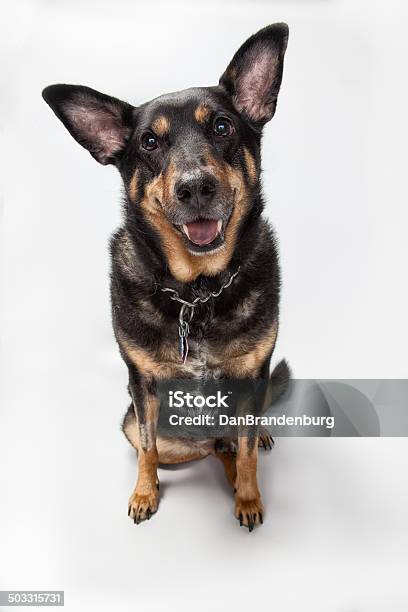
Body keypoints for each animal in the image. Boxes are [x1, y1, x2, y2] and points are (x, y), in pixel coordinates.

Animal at [42, 23, 290, 532]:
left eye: (222, 126)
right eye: (149, 144)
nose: (195, 187)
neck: (197, 293)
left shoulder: (251, 377)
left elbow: (248, 451)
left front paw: (248, 497)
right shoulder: (143, 387)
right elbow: (147, 448)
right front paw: (144, 494)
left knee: (235, 442)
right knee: (204, 448)